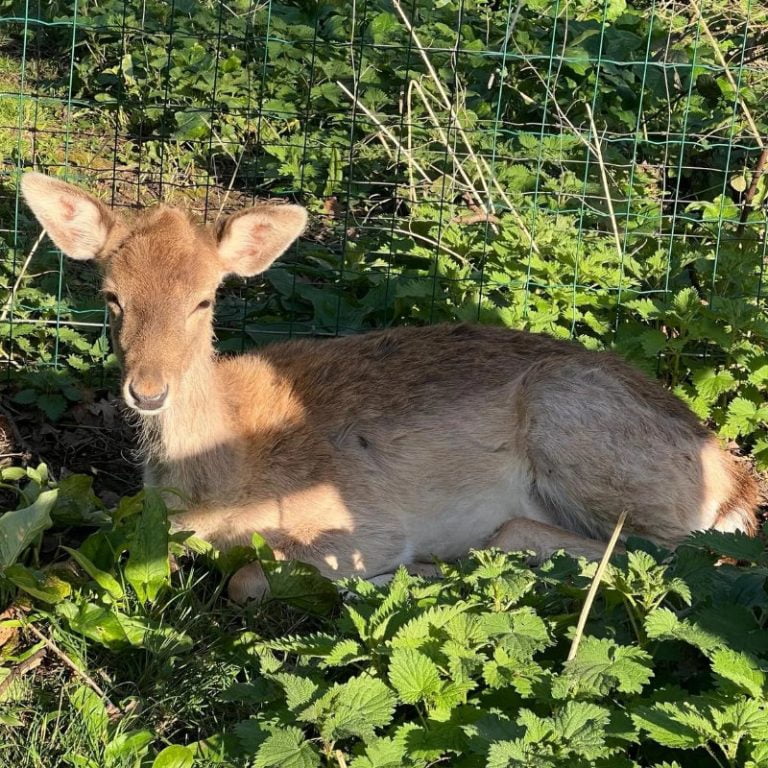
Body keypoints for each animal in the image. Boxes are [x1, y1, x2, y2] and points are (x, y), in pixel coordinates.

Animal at [20, 172, 759, 602]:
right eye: (111, 296)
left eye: (206, 299)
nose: (147, 390)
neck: (221, 481)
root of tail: (738, 487)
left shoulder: (357, 522)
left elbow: (252, 579)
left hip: (585, 435)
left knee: (681, 558)